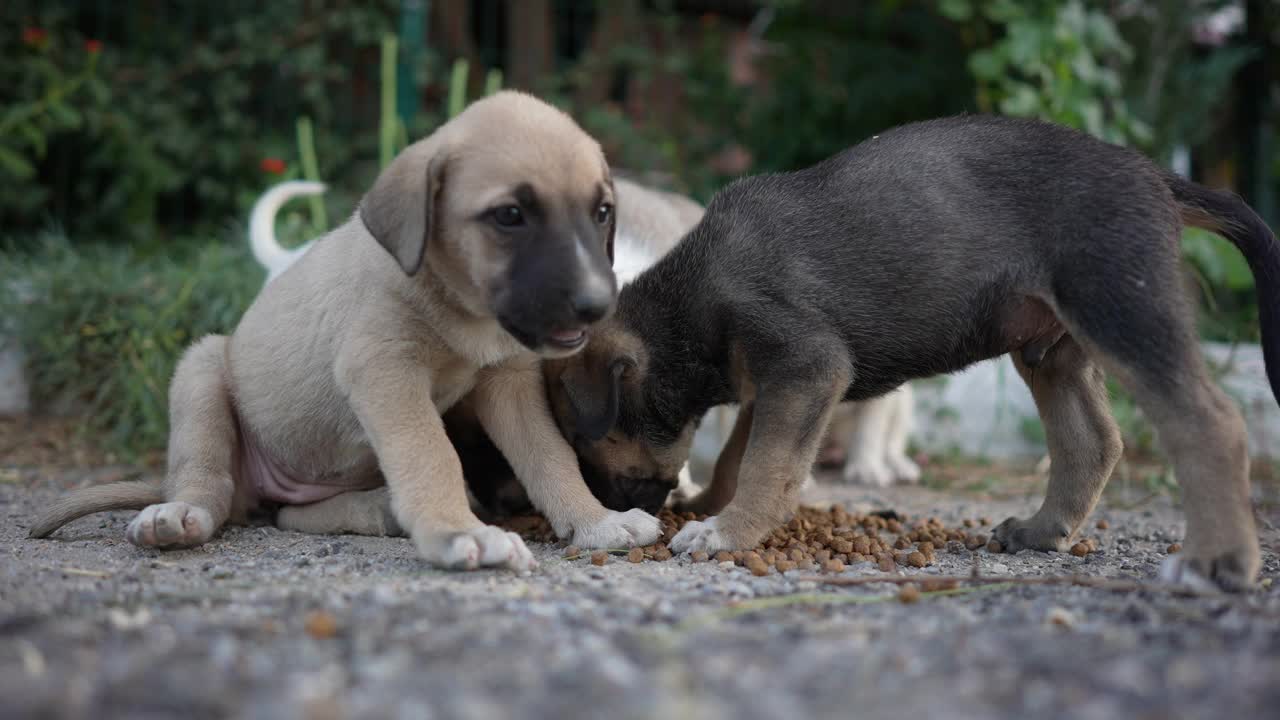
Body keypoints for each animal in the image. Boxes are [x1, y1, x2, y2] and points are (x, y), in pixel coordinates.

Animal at [542, 116, 1280, 589]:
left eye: (584, 440)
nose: (615, 508)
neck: (690, 301)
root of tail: (1156, 176)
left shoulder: (807, 365)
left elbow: (763, 466)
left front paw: (725, 533)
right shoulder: (779, 381)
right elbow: (739, 458)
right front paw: (710, 507)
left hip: (1119, 305)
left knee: (1209, 420)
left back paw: (1218, 562)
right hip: (1050, 347)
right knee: (1091, 441)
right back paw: (1043, 531)